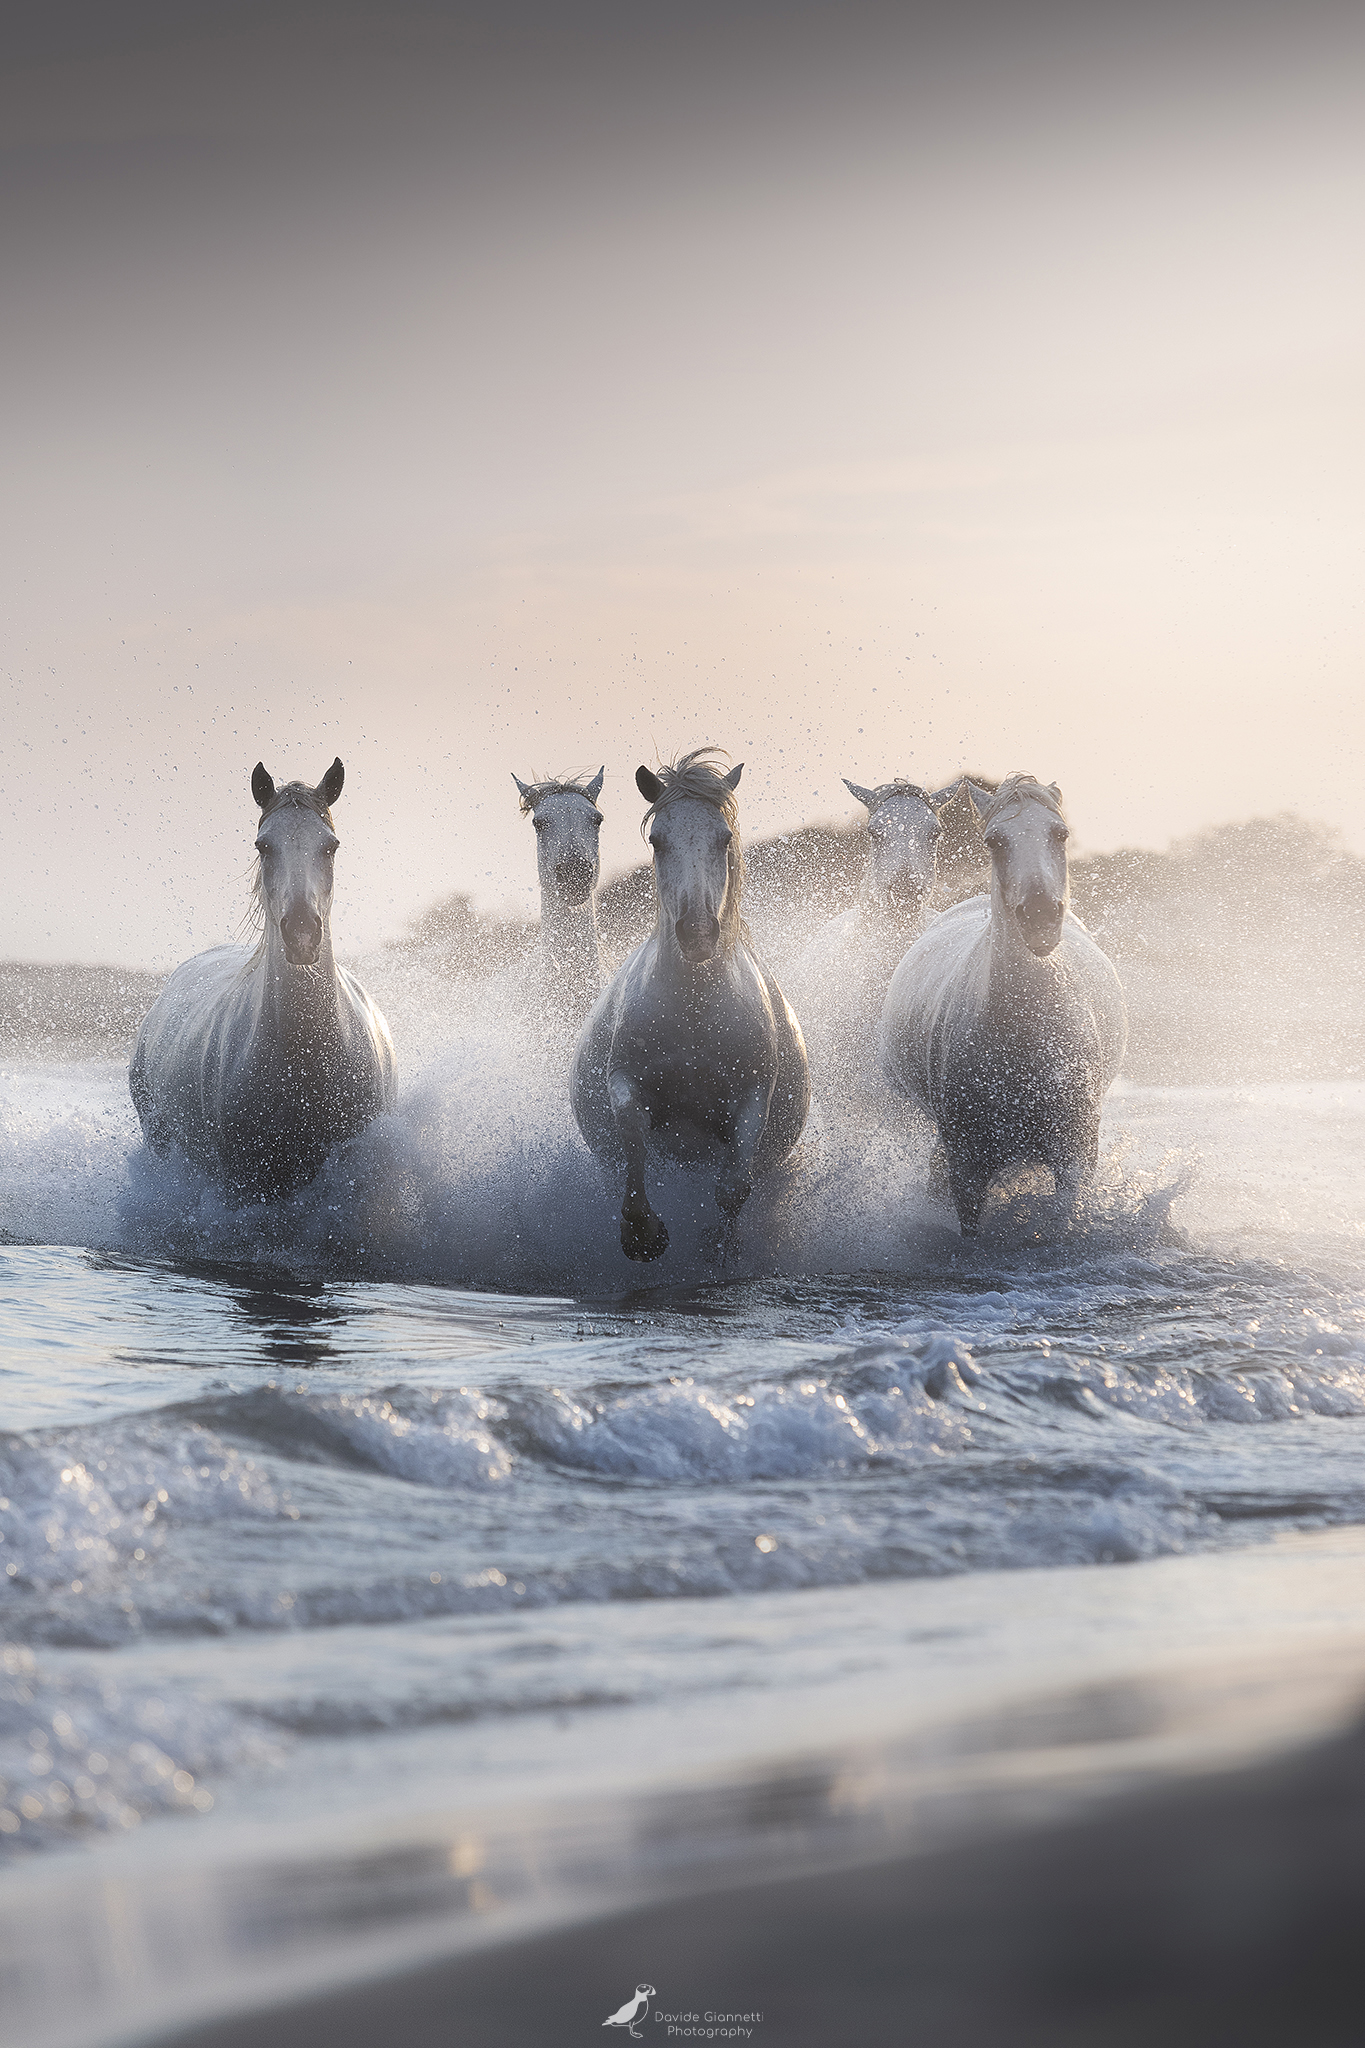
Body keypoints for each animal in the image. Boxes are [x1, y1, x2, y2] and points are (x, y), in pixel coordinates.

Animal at [129, 758, 396, 1202]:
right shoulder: (243, 1182)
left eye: (331, 846)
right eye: (263, 846)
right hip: (158, 1139)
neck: (303, 1055)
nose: (302, 933)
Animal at [570, 750, 810, 1262]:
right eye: (657, 840)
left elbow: (733, 1188)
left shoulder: (752, 1099)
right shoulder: (626, 1081)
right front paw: (643, 1234)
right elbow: (635, 1149)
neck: (695, 1014)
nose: (697, 933)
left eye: (724, 838)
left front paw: (718, 1247)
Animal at [877, 775, 1126, 1235]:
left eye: (1060, 833)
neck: (1026, 1032)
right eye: (994, 840)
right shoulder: (966, 1164)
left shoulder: (1076, 1156)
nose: (1040, 916)